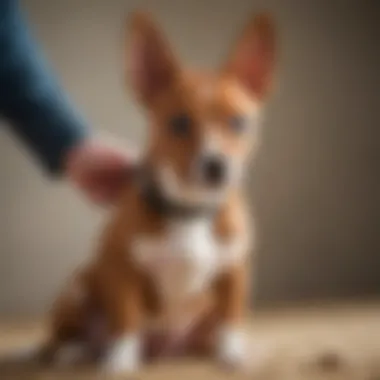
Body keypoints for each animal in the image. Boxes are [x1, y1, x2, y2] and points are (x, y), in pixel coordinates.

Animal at [39, 10, 276, 376]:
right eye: (179, 123)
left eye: (239, 123)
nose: (216, 165)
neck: (190, 210)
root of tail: (164, 350)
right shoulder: (121, 269)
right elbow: (126, 318)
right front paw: (122, 360)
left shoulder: (235, 270)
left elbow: (232, 317)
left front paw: (234, 352)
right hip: (77, 289)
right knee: (65, 339)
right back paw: (73, 353)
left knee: (209, 330)